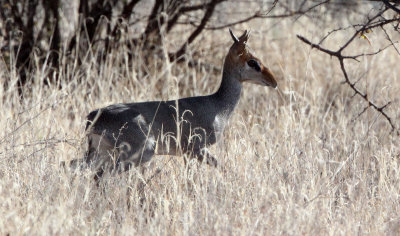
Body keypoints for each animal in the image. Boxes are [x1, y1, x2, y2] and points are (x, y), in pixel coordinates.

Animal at [72, 30, 278, 179]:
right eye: (252, 62)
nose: (274, 81)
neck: (217, 107)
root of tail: (93, 116)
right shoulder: (195, 149)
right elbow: (221, 167)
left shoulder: (187, 154)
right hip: (138, 153)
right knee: (100, 176)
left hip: (100, 152)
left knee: (75, 166)